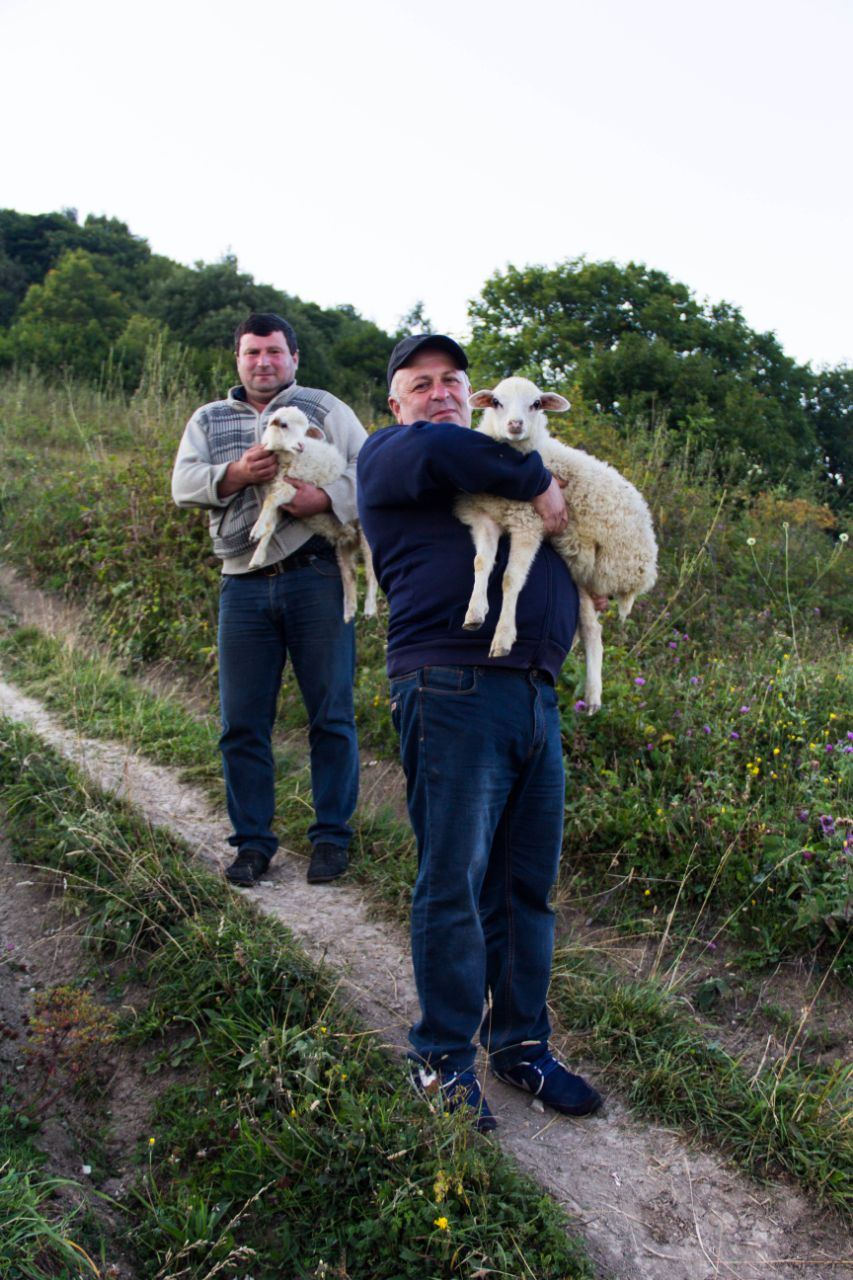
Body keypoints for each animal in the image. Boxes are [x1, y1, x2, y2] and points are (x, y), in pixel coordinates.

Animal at [247, 409, 376, 624]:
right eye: (283, 425)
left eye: (306, 429)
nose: (301, 445)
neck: (287, 459)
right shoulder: (281, 496)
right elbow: (270, 526)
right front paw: (257, 556)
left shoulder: (295, 488)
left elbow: (270, 501)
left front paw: (255, 531)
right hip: (344, 543)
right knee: (349, 574)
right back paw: (349, 612)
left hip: (367, 533)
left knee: (371, 570)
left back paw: (370, 608)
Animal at [455, 373, 653, 716]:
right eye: (496, 402)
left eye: (536, 404)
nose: (515, 424)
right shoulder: (486, 518)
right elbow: (481, 563)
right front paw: (475, 612)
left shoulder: (529, 524)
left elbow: (511, 579)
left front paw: (503, 637)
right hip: (578, 568)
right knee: (590, 627)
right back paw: (589, 690)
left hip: (598, 567)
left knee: (592, 630)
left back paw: (593, 695)